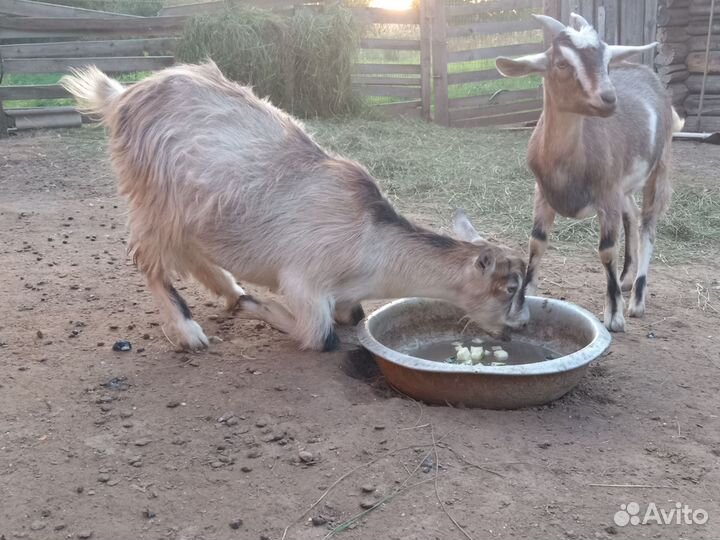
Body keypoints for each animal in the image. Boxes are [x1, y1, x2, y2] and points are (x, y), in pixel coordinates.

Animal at [60, 63, 528, 352]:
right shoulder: (304, 280)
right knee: (148, 258)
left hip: (191, 212)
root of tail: (122, 95)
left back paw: (230, 291)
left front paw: (245, 302)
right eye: (509, 288)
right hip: (154, 197)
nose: (522, 325)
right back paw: (190, 330)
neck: (371, 243)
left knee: (191, 253)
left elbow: (353, 315)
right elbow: (320, 335)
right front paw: (257, 309)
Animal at [496, 13, 680, 334]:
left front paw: (614, 316)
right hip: (623, 186)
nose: (608, 98)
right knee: (631, 215)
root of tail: (646, 71)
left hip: (659, 167)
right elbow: (536, 241)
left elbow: (606, 250)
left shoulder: (606, 194)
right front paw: (522, 300)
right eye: (561, 63)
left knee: (648, 225)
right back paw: (625, 279)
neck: (567, 164)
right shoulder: (542, 192)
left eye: (606, 62)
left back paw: (637, 299)